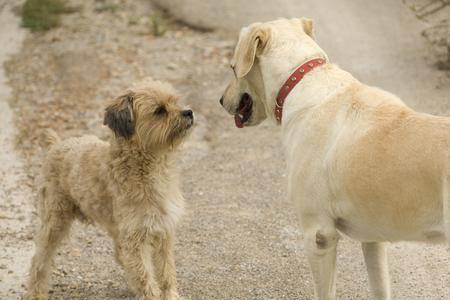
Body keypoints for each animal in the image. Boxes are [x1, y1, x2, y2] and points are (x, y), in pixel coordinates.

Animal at [24, 79, 193, 300]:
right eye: (159, 111)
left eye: (175, 101)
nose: (189, 112)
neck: (149, 167)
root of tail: (56, 145)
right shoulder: (135, 238)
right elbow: (145, 274)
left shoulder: (162, 232)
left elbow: (166, 272)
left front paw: (170, 295)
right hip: (54, 223)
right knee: (39, 261)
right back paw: (36, 293)